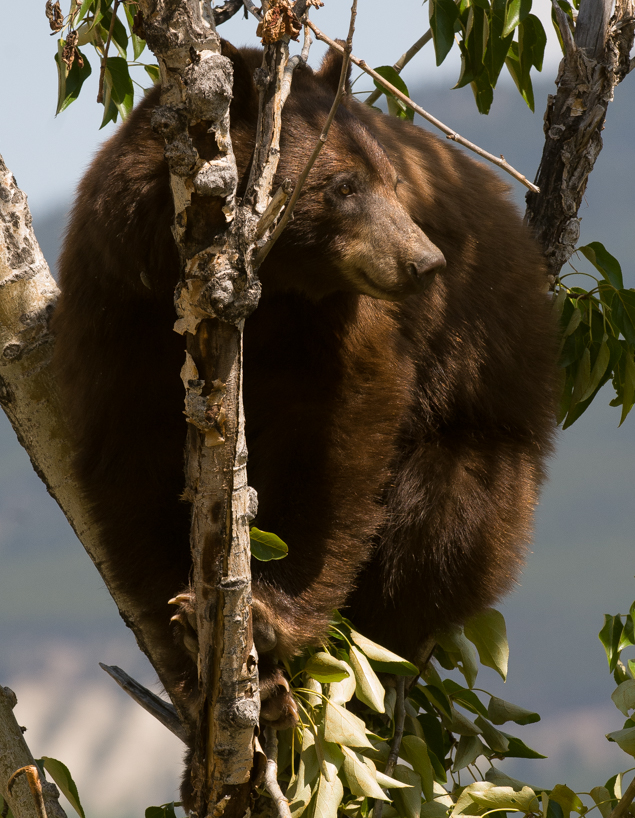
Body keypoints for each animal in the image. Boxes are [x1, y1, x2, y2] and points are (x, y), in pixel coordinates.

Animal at [51, 40, 557, 745]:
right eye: (343, 186)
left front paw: (270, 614)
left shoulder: (342, 324)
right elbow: (128, 457)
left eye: (393, 181)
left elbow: (341, 434)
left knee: (442, 520)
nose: (425, 262)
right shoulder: (119, 303)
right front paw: (186, 630)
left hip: (489, 438)